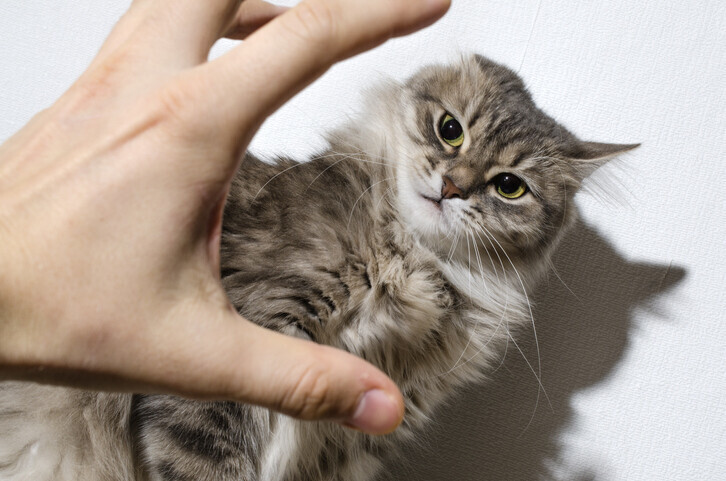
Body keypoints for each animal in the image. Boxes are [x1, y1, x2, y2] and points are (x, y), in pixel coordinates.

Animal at [0, 55, 636, 480]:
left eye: (509, 187)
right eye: (450, 129)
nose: (453, 188)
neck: (414, 263)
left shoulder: (357, 432)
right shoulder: (244, 340)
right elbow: (205, 464)